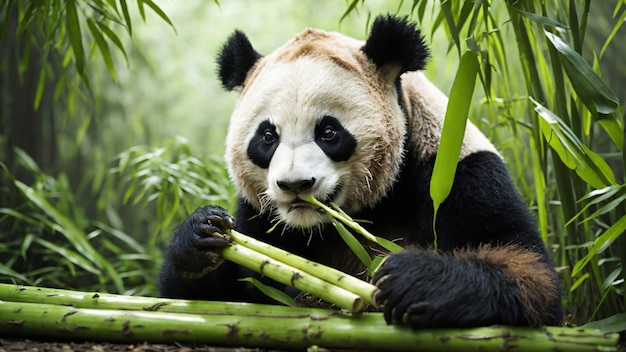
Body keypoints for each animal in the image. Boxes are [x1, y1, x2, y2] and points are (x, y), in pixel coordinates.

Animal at [158, 13, 564, 328]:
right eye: (268, 136)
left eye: (328, 132)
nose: (295, 184)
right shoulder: (258, 212)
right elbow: (217, 297)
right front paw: (201, 235)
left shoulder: (457, 169)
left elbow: (527, 270)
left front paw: (412, 280)